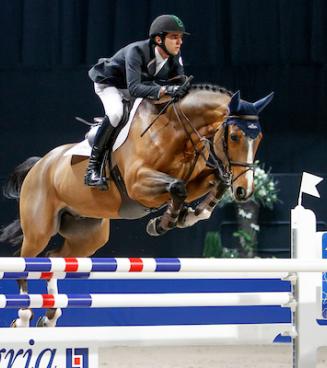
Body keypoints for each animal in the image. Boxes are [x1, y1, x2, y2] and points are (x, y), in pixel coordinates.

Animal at [0, 85, 274, 326]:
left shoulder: (196, 179)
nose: (245, 191)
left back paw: (50, 316)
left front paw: (190, 215)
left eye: (259, 137)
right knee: (23, 260)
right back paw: (23, 316)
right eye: (235, 137)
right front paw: (162, 223)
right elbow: (178, 187)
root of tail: (40, 165)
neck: (177, 132)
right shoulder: (138, 184)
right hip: (40, 230)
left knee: (53, 259)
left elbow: (214, 181)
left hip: (87, 236)